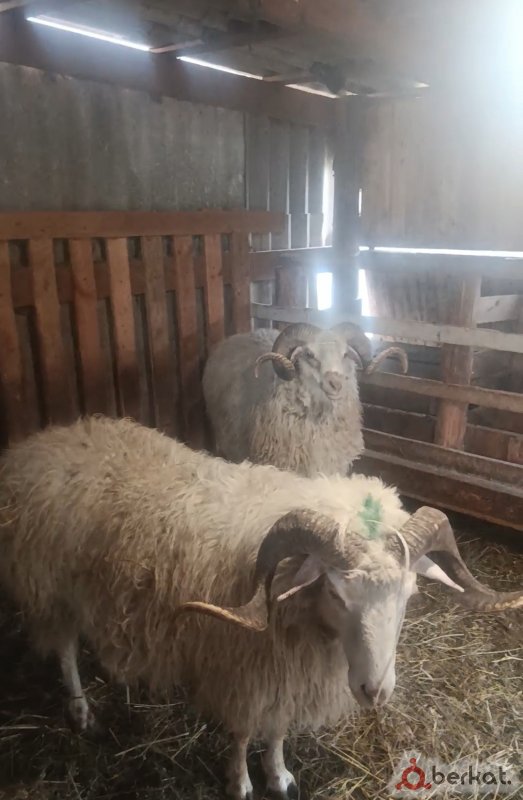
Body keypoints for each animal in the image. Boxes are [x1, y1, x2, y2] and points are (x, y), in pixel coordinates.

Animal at [0, 416, 520, 800]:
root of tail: (42, 442)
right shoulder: (241, 670)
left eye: (409, 595)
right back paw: (81, 710)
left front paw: (279, 774)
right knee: (65, 650)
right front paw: (241, 783)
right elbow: (244, 731)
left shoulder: (282, 670)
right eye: (336, 593)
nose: (375, 692)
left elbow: (278, 729)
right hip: (50, 589)